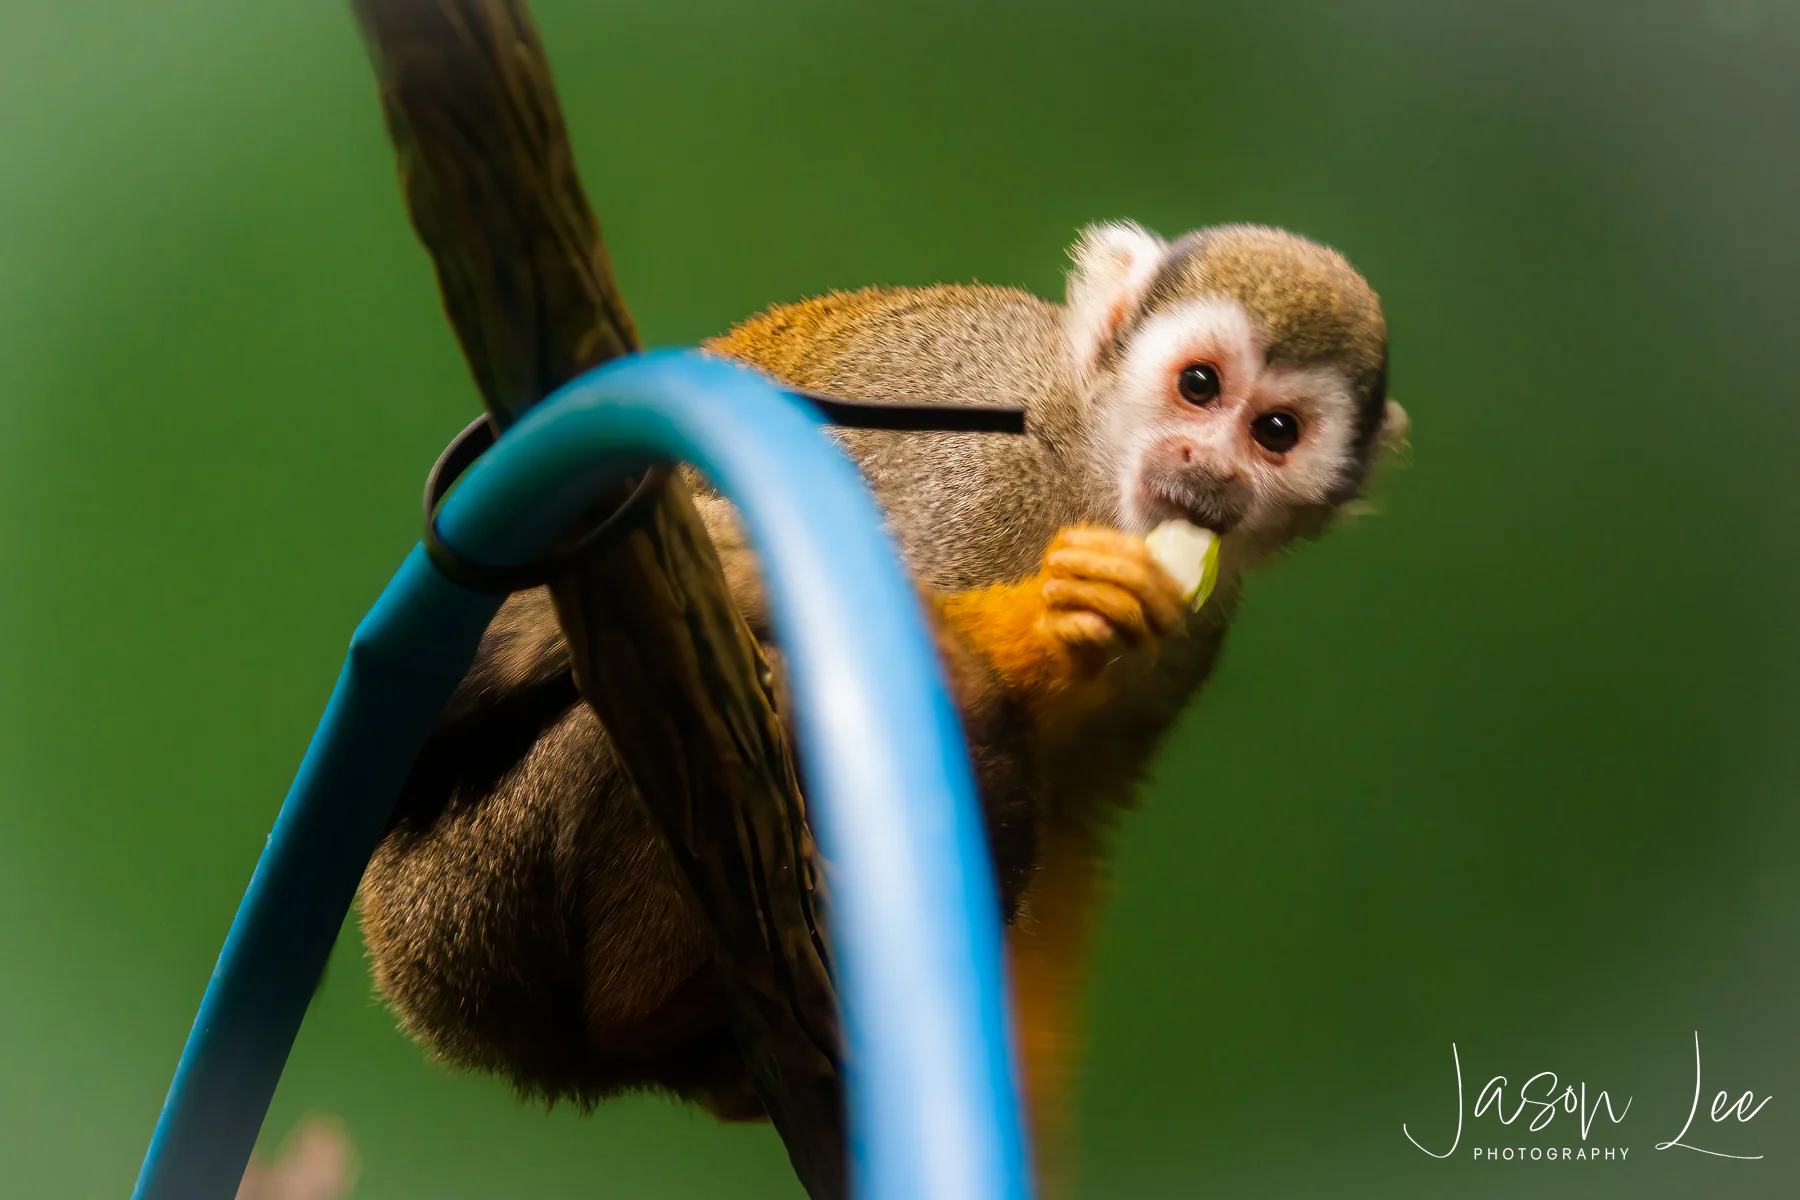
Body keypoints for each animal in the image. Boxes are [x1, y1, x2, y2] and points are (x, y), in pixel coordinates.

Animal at [356, 220, 1407, 1177]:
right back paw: (650, 999)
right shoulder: (978, 469)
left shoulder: (1200, 628)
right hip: (487, 879)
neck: (1088, 466)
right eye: (1199, 386)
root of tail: (413, 969)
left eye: (1275, 433)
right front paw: (1045, 618)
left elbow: (1073, 825)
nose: (1208, 470)